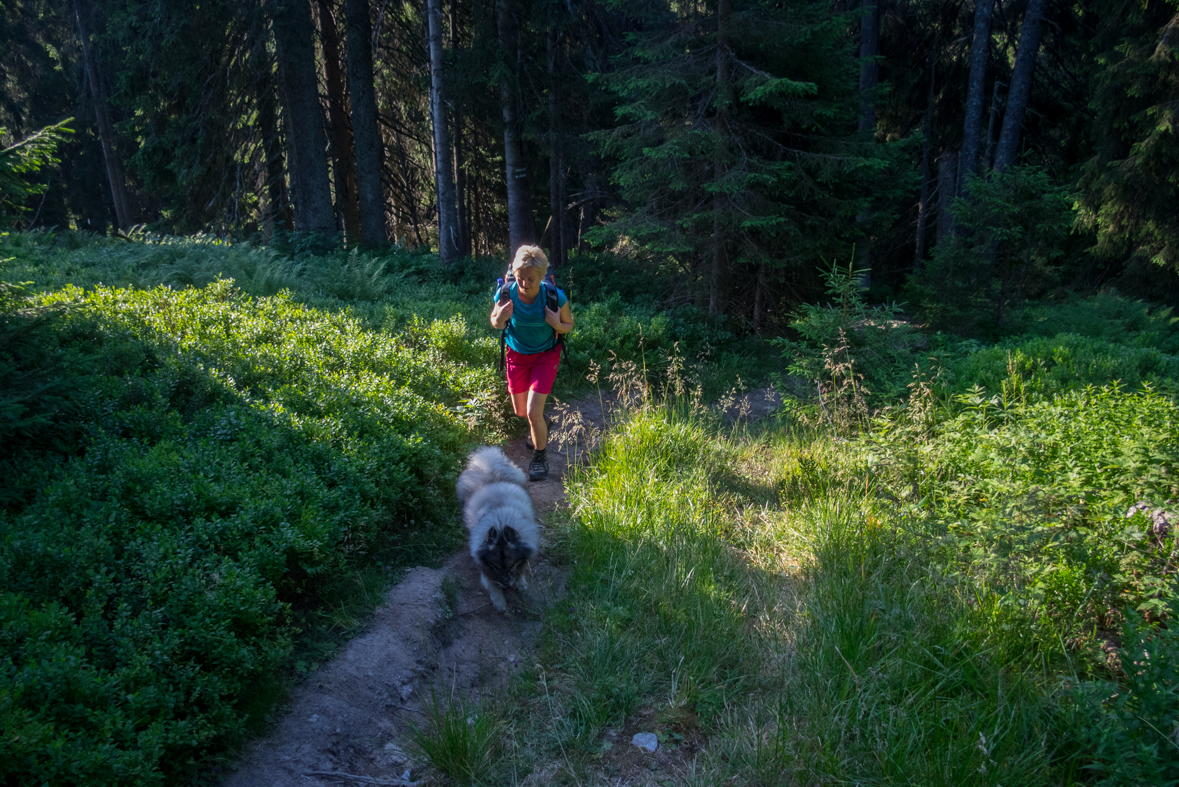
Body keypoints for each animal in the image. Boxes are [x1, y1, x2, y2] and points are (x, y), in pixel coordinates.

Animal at [455, 445, 539, 612]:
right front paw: (500, 603)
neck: (500, 523)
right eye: (496, 567)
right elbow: (492, 585)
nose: (506, 585)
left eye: (511, 565)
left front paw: (521, 583)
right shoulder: (485, 566)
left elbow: (521, 571)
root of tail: (490, 466)